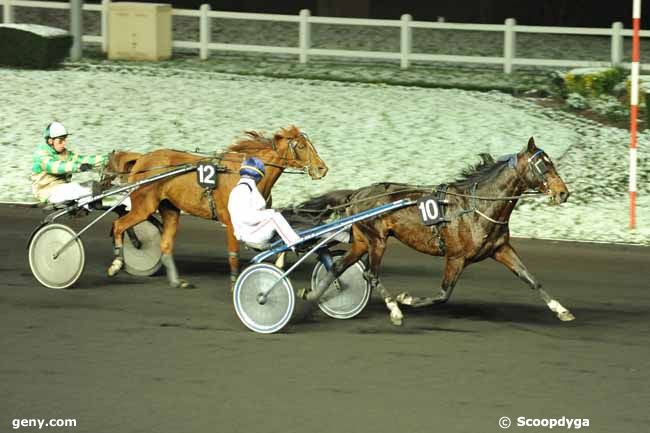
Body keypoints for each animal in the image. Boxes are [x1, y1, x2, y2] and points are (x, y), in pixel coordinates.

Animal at [109, 125, 330, 286]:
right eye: (301, 146)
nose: (322, 168)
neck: (248, 175)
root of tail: (142, 158)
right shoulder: (232, 223)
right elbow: (234, 255)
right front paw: (236, 282)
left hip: (170, 209)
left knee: (165, 243)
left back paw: (177, 281)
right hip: (143, 205)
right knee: (119, 225)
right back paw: (117, 264)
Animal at [294, 138, 572, 324]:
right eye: (543, 167)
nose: (563, 193)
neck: (478, 206)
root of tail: (357, 193)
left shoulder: (501, 249)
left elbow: (531, 279)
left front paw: (561, 310)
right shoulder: (456, 257)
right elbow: (443, 294)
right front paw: (406, 299)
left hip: (363, 241)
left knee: (338, 267)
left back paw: (312, 294)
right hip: (377, 240)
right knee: (370, 274)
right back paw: (395, 310)